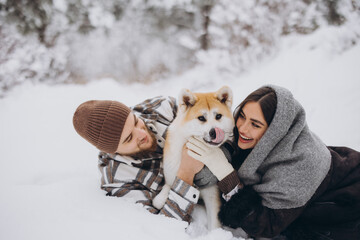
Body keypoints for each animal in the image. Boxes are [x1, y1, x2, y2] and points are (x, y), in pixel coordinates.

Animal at [153, 86, 235, 229]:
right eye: (201, 118)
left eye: (218, 116)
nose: (214, 132)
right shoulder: (172, 174)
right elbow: (165, 189)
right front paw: (161, 197)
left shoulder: (212, 194)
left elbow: (214, 223)